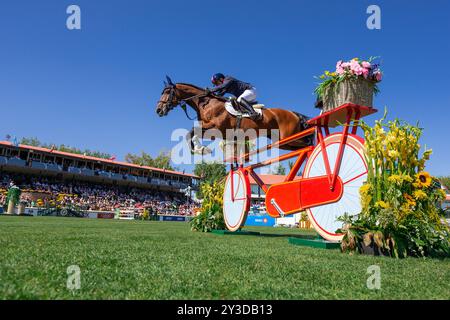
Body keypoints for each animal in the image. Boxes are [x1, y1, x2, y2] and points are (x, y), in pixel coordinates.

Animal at [156, 76, 312, 159]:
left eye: (167, 92)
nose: (158, 110)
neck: (206, 103)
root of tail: (293, 113)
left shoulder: (216, 127)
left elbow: (192, 132)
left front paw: (201, 149)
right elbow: (190, 133)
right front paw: (200, 150)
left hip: (289, 136)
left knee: (307, 141)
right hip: (282, 142)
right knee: (300, 145)